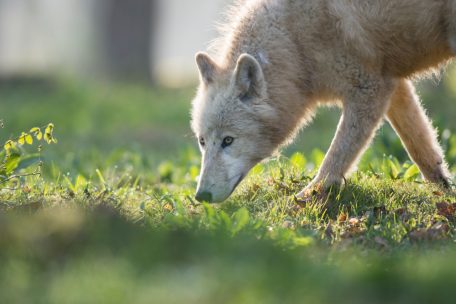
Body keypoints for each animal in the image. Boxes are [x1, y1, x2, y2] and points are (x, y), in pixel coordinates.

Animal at [190, 0, 456, 204]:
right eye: (202, 142)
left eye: (228, 140)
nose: (201, 196)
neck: (293, 44)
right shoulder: (391, 84)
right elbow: (420, 146)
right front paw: (443, 189)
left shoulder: (368, 89)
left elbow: (335, 156)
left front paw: (307, 198)